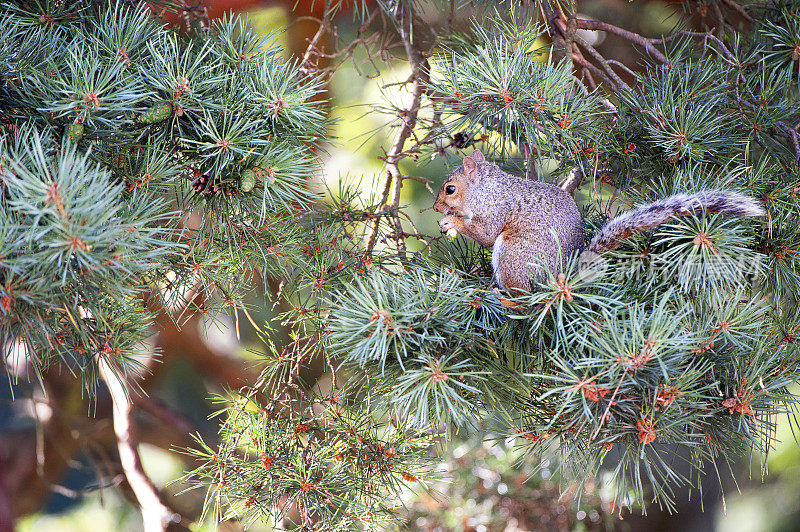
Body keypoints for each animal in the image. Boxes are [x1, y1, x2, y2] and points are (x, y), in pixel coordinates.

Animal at [434, 149, 764, 290]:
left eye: (450, 189)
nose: (437, 208)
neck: (487, 188)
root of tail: (562, 276)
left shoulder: (495, 208)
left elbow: (486, 233)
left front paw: (453, 223)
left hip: (513, 254)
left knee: (522, 292)